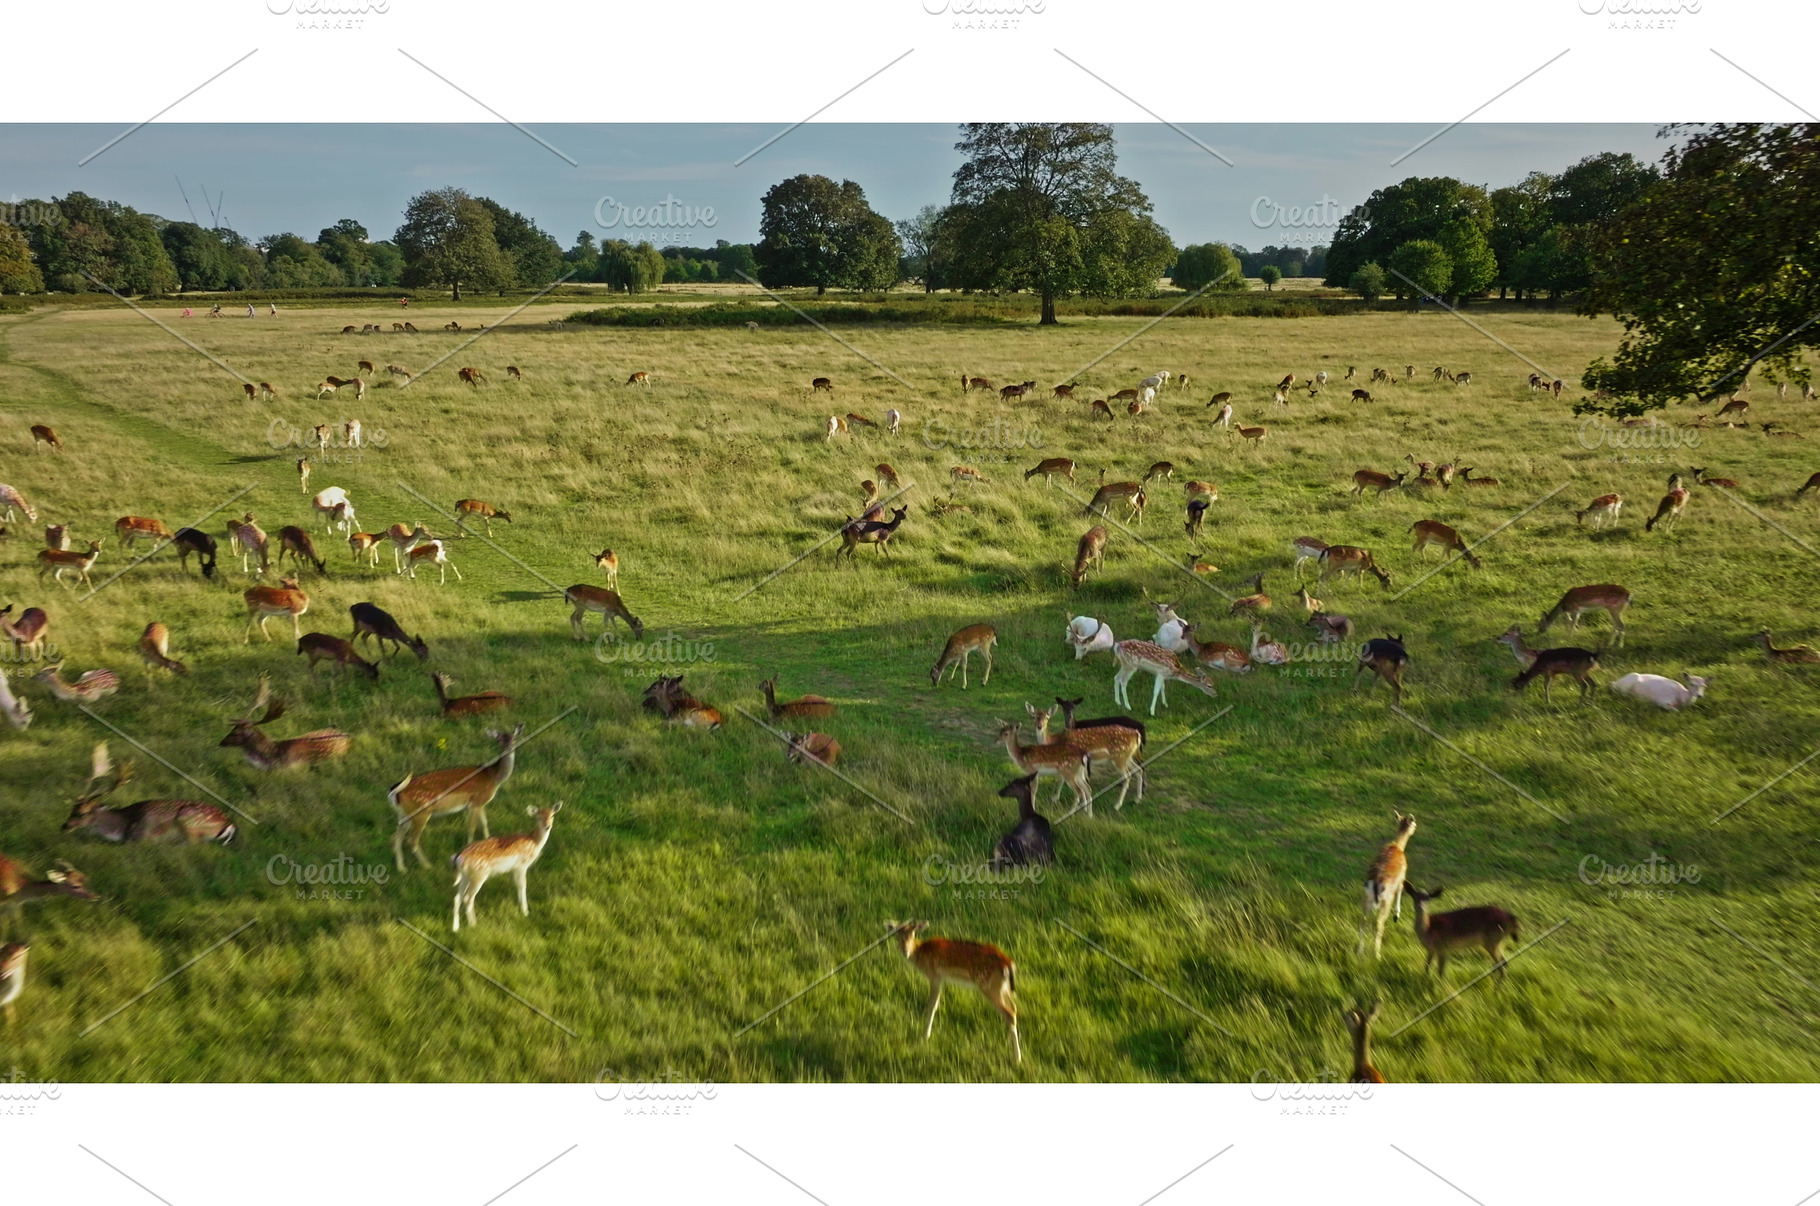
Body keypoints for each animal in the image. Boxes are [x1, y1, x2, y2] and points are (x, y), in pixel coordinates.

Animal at [63, 743, 236, 844]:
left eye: (82, 813)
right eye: (72, 809)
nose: (64, 826)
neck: (122, 828)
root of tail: (229, 824)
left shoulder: (141, 837)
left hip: (189, 821)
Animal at [390, 725, 526, 872]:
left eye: (514, 738)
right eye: (499, 740)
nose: (510, 748)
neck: (493, 777)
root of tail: (395, 793)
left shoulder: (480, 803)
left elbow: (484, 823)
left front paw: (489, 842)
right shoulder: (476, 802)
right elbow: (471, 827)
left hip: (404, 815)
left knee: (396, 837)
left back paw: (401, 868)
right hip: (421, 813)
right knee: (411, 840)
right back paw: (427, 865)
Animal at [450, 801, 562, 932]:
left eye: (552, 815)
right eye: (538, 817)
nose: (547, 826)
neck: (533, 843)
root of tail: (459, 858)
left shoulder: (513, 869)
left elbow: (516, 885)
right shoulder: (521, 865)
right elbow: (522, 885)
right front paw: (525, 912)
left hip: (465, 876)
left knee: (457, 897)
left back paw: (456, 928)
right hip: (479, 874)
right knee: (467, 898)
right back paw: (474, 924)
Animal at [887, 920, 1020, 1063]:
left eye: (912, 933)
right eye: (897, 935)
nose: (905, 951)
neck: (921, 954)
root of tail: (1008, 964)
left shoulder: (935, 976)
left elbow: (932, 1006)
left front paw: (925, 1036)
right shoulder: (940, 978)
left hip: (989, 987)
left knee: (1009, 1013)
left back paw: (1017, 1058)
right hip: (1003, 988)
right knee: (1013, 1008)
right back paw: (1008, 1043)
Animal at [1360, 812, 1416, 957]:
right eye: (1414, 823)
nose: (1415, 827)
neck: (1398, 846)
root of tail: (1375, 884)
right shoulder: (1402, 877)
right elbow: (1401, 890)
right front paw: (1396, 915)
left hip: (1366, 898)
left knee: (1363, 921)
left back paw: (1358, 952)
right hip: (1386, 901)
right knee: (1378, 923)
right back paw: (1377, 955)